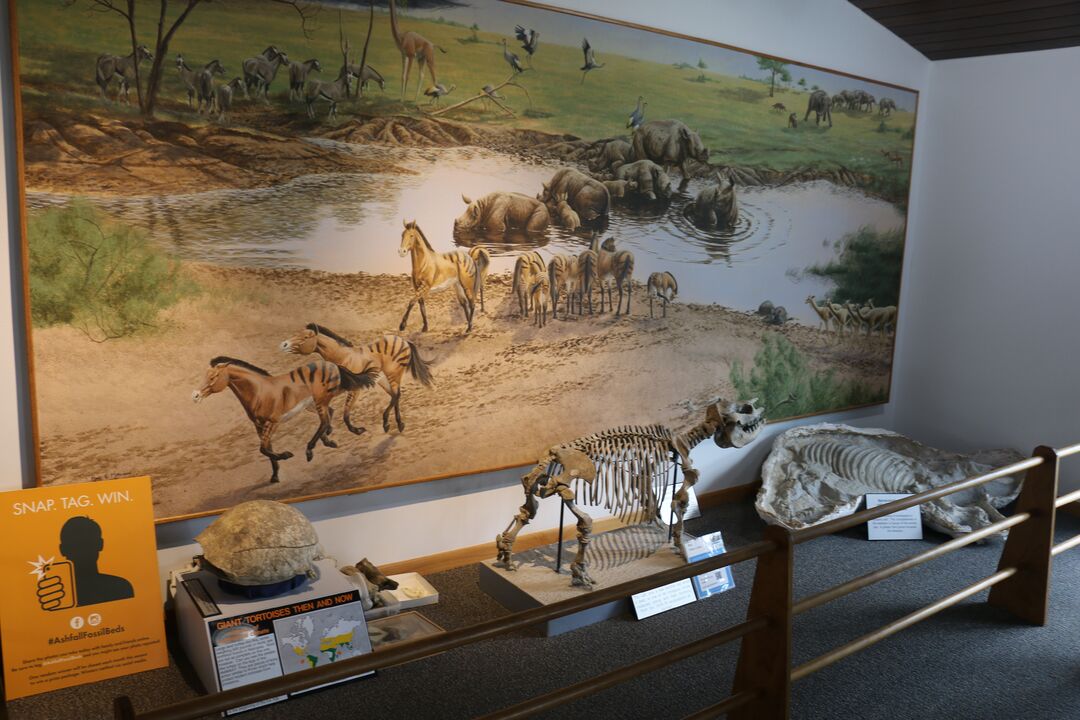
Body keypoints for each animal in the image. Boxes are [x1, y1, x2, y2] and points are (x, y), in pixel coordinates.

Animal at [194, 356, 380, 483]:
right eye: (204, 376)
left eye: (213, 377)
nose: (194, 396)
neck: (259, 392)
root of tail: (331, 364)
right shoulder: (258, 426)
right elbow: (266, 449)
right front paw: (275, 475)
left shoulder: (272, 422)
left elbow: (263, 449)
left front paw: (285, 455)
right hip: (313, 403)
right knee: (329, 416)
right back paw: (329, 439)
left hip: (322, 399)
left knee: (329, 417)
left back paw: (313, 449)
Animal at [282, 325, 434, 433]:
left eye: (306, 337)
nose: (283, 345)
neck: (342, 357)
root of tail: (403, 340)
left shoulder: (355, 389)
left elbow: (345, 414)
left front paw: (357, 430)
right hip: (382, 378)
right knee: (394, 395)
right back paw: (397, 424)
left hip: (393, 373)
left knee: (396, 395)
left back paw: (388, 422)